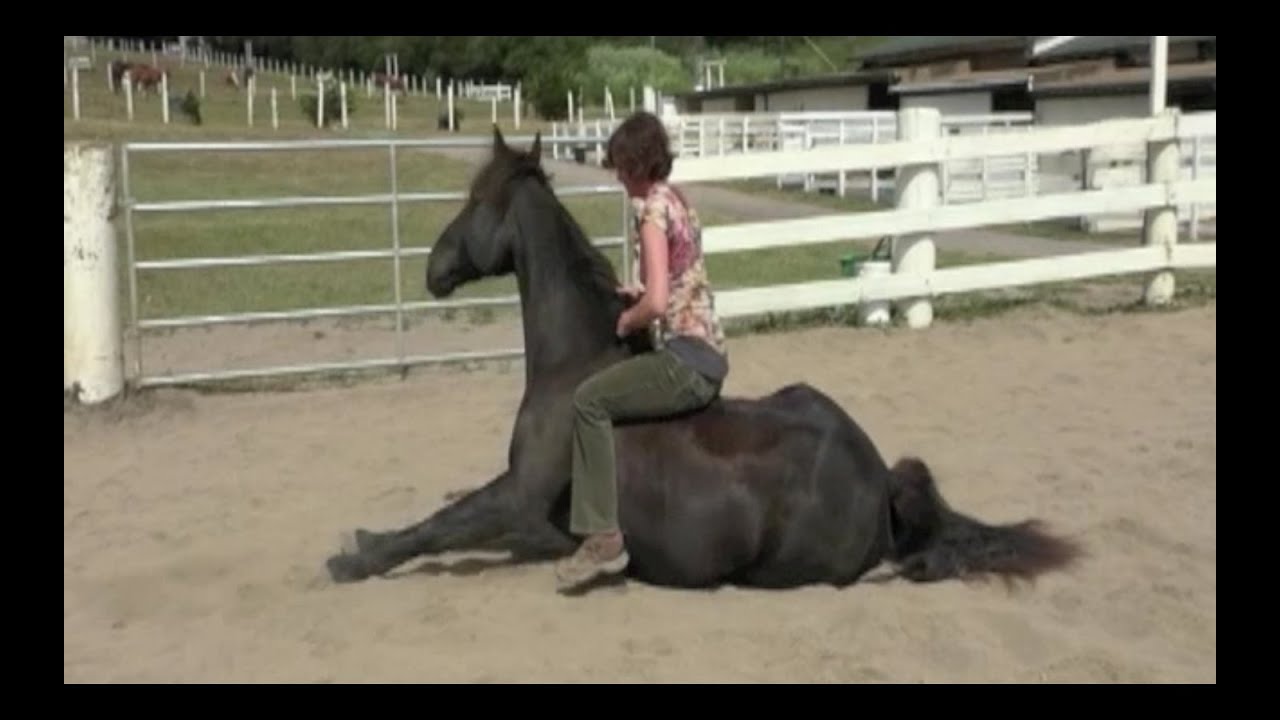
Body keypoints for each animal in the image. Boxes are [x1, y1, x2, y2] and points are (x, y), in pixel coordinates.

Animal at [324, 127, 1082, 592]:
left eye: (477, 200)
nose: (432, 270)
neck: (575, 365)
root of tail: (878, 476)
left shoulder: (522, 501)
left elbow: (441, 529)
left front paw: (352, 558)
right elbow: (442, 522)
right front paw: (364, 540)